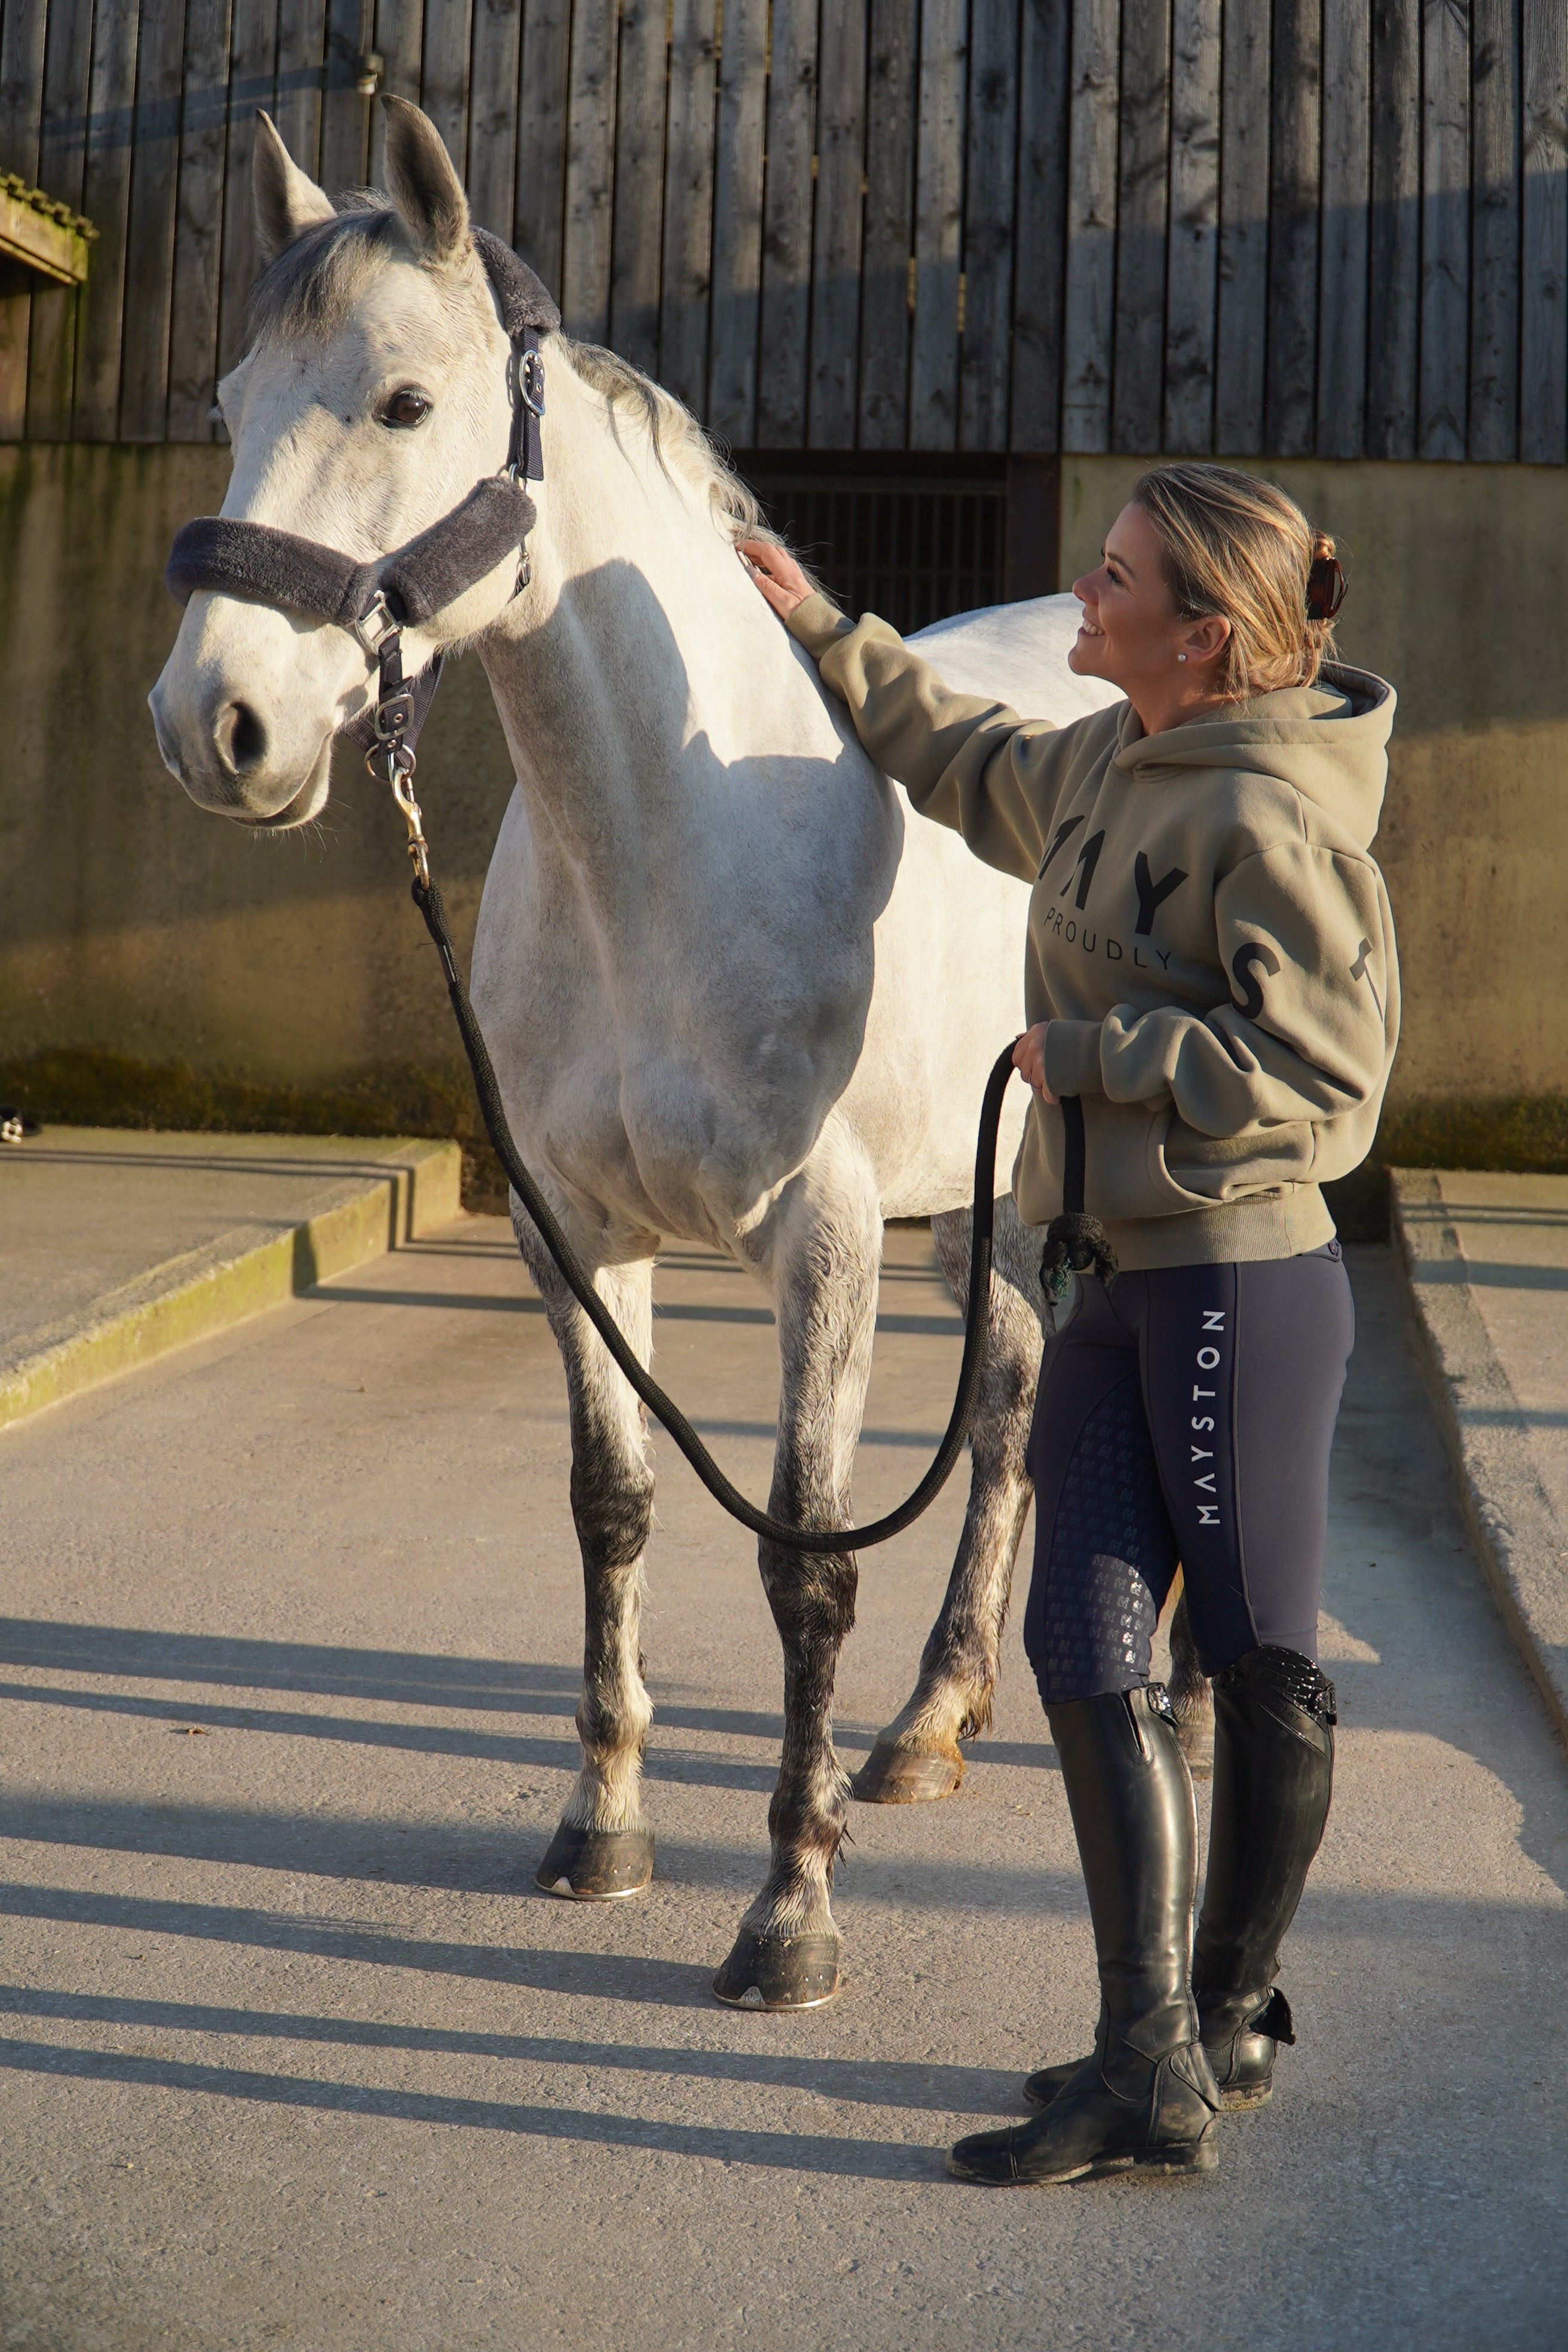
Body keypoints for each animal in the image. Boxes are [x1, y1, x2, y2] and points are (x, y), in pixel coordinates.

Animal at [149, 98, 1207, 2010]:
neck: (667, 845)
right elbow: (615, 1510)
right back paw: (930, 1724)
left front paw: (788, 1914)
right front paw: (605, 1831)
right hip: (994, 1191)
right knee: (1010, 1401)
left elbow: (801, 1566)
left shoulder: (825, 1241)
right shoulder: (572, 1232)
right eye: (225, 404)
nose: (219, 727)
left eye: (404, 401)